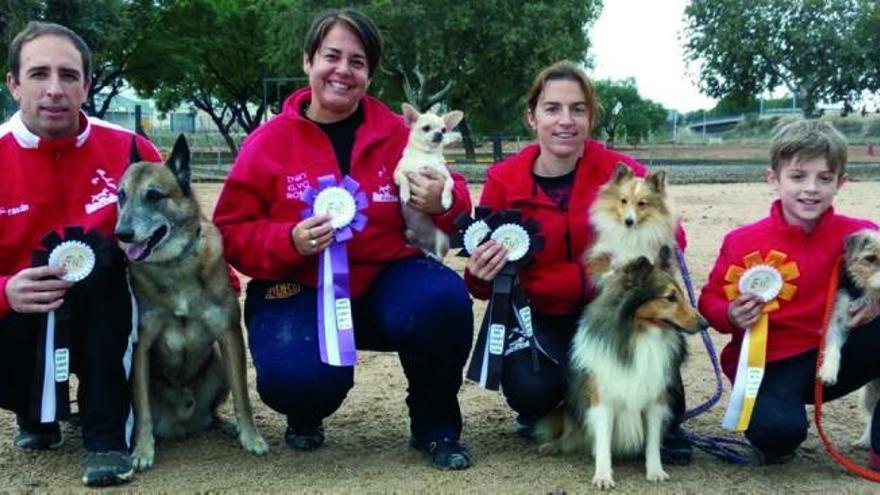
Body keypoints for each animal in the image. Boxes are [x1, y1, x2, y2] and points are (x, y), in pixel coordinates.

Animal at [115, 137, 270, 472]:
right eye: (121, 195)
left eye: (154, 195)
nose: (122, 233)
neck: (175, 264)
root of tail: (184, 423)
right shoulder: (141, 347)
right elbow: (142, 409)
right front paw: (143, 449)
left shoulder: (229, 336)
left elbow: (243, 397)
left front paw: (251, 437)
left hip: (220, 363)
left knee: (213, 414)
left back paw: (228, 426)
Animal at [532, 250, 704, 490]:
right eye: (670, 297)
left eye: (681, 295)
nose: (705, 324)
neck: (640, 334)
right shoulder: (602, 398)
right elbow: (603, 441)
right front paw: (603, 475)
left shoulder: (655, 399)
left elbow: (652, 442)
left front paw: (655, 471)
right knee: (569, 435)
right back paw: (552, 446)